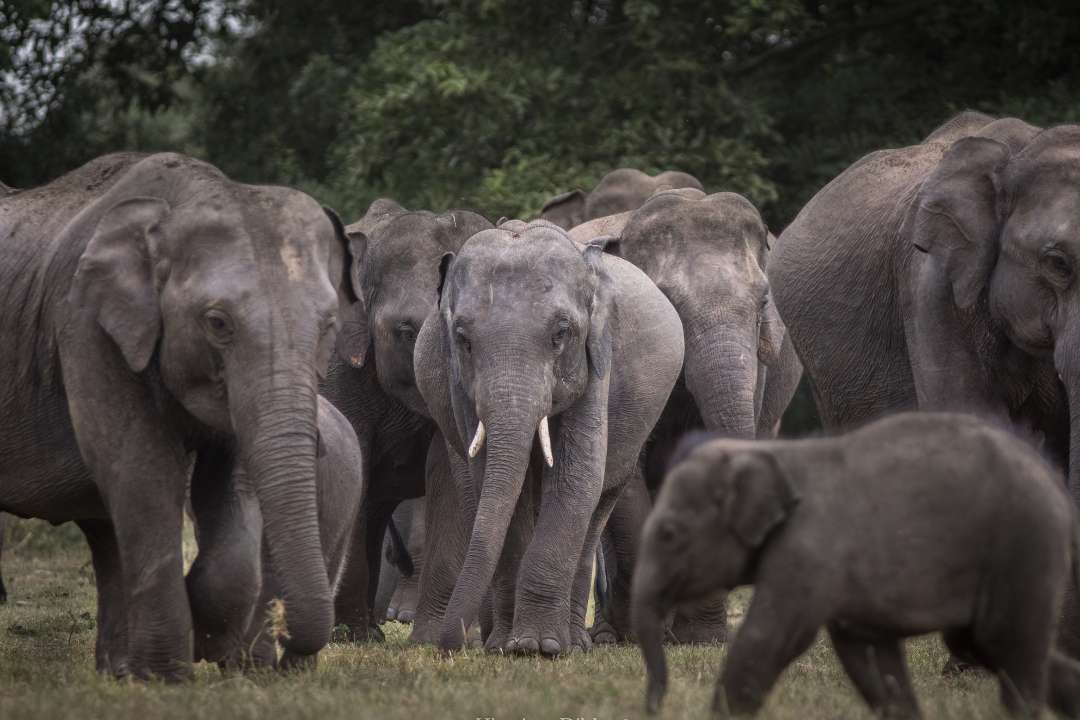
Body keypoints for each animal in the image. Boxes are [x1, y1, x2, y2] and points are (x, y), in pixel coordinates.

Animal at [320, 199, 492, 642]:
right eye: (405, 330)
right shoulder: (337, 368)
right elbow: (355, 464)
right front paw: (348, 636)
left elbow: (446, 473)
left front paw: (429, 639)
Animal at [414, 218, 684, 655]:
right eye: (462, 339)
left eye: (561, 333)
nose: (448, 645)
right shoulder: (459, 387)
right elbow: (498, 484)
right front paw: (511, 647)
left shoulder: (598, 361)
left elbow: (576, 479)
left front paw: (539, 647)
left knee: (598, 504)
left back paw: (575, 643)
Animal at [634, 412, 1080, 719]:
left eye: (669, 533)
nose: (654, 706)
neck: (771, 454)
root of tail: (1053, 481)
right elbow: (866, 656)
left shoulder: (810, 547)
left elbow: (769, 638)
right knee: (983, 642)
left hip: (1024, 542)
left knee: (1005, 642)